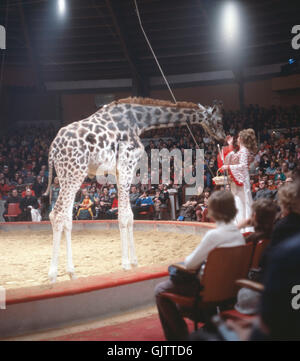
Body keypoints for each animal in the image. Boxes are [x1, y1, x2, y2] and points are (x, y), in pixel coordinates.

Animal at [43, 97, 224, 282]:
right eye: (218, 120)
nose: (222, 137)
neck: (139, 121)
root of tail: (53, 148)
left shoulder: (118, 172)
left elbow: (130, 216)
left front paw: (134, 262)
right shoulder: (126, 167)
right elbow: (124, 216)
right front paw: (125, 264)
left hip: (66, 175)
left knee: (62, 216)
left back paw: (67, 273)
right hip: (74, 173)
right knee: (59, 215)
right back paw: (56, 274)